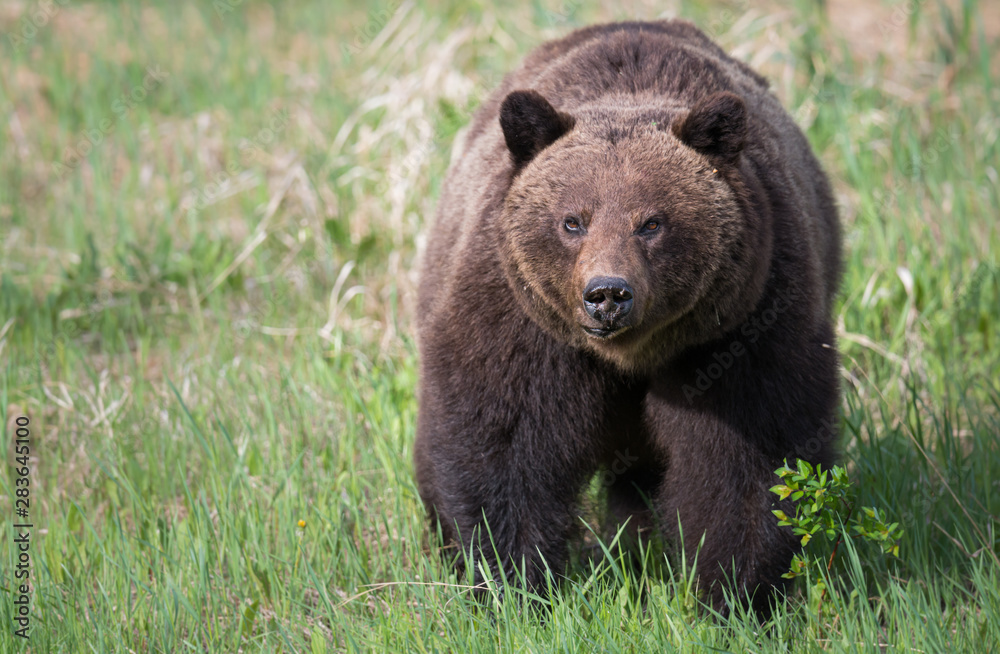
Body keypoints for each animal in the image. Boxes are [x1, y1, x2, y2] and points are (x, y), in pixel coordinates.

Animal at [410, 18, 840, 616]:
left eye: (652, 222)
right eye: (573, 220)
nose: (607, 294)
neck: (630, 354)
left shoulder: (743, 324)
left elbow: (751, 460)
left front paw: (731, 594)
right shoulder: (519, 322)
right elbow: (499, 446)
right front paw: (513, 585)